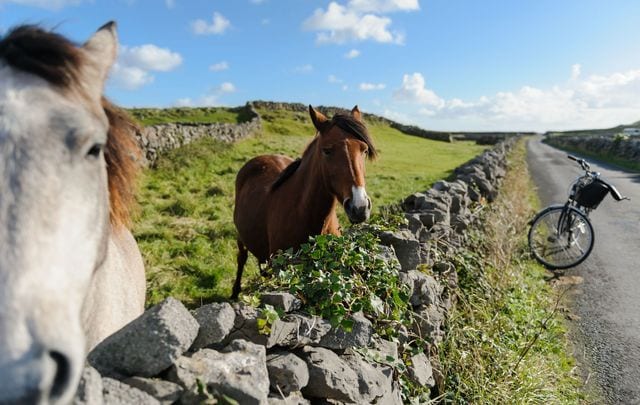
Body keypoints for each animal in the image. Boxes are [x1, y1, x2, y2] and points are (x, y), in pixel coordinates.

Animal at [232, 105, 378, 296]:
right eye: (327, 150)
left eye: (364, 150)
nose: (359, 207)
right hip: (240, 236)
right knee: (241, 258)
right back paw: (235, 291)